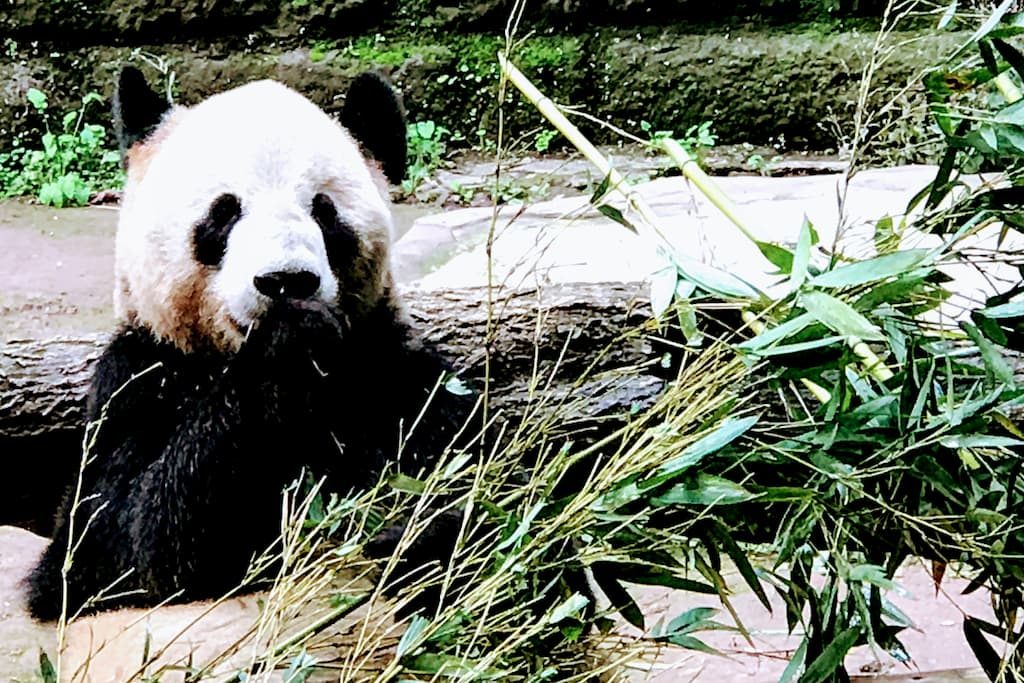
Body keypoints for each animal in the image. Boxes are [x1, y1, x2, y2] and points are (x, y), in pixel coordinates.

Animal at [25, 66, 468, 622]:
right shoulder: (138, 378)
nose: (285, 282)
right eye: (225, 212)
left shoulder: (395, 373)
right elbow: (112, 548)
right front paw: (283, 350)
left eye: (324, 211)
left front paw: (421, 533)